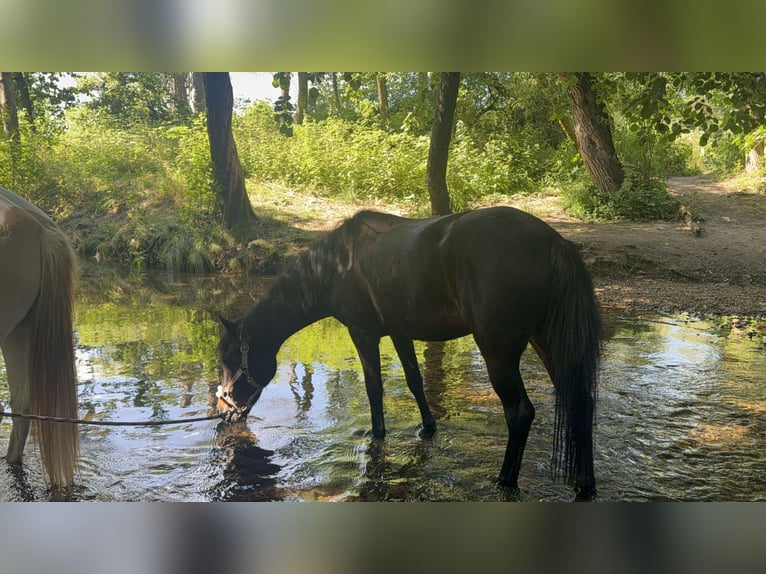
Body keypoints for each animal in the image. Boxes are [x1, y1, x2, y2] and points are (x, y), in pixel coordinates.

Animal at [216, 206, 602, 499]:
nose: (223, 411)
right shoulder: (400, 333)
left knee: (520, 412)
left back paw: (505, 480)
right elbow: (415, 382)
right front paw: (427, 428)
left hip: (498, 352)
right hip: (547, 342)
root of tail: (553, 242)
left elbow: (374, 389)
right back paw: (584, 483)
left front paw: (377, 434)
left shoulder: (364, 334)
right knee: (579, 401)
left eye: (229, 359)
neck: (337, 265)